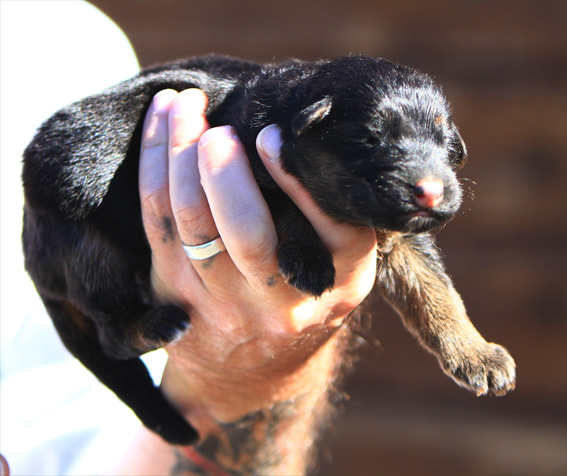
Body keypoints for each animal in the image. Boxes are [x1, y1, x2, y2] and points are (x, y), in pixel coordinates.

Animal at [21, 55, 516, 445]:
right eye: (371, 139)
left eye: (446, 146)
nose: (432, 192)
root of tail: (30, 241)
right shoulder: (251, 161)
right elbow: (284, 203)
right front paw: (309, 260)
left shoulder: (403, 237)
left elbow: (436, 293)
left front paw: (477, 354)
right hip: (88, 241)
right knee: (110, 331)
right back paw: (156, 324)